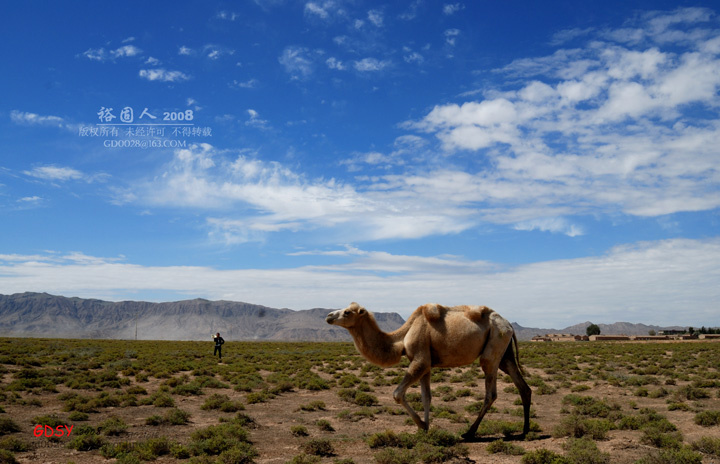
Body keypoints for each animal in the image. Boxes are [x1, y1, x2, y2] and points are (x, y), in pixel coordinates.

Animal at [324, 300, 532, 438]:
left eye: (347, 312)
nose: (328, 316)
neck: (401, 338)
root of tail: (509, 324)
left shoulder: (420, 360)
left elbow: (397, 394)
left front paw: (422, 425)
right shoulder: (427, 365)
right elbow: (426, 397)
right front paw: (426, 427)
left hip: (493, 349)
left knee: (491, 393)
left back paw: (469, 432)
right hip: (505, 355)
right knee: (524, 387)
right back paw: (525, 430)